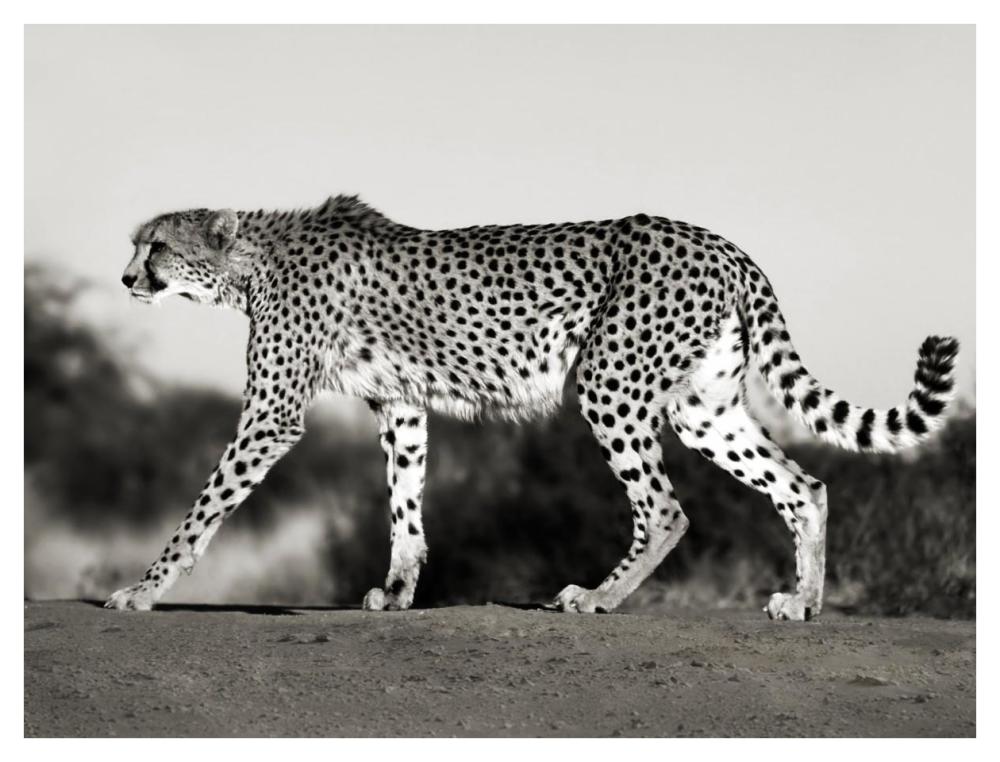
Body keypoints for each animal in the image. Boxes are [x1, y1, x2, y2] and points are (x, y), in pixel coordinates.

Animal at [107, 195, 959, 619]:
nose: (125, 279)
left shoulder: (273, 412)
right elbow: (405, 504)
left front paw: (143, 590)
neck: (250, 261)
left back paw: (598, 596)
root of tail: (719, 241)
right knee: (803, 485)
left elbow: (204, 508)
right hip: (703, 407)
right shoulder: (401, 403)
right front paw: (398, 592)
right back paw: (802, 602)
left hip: (610, 381)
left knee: (666, 508)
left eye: (156, 247)